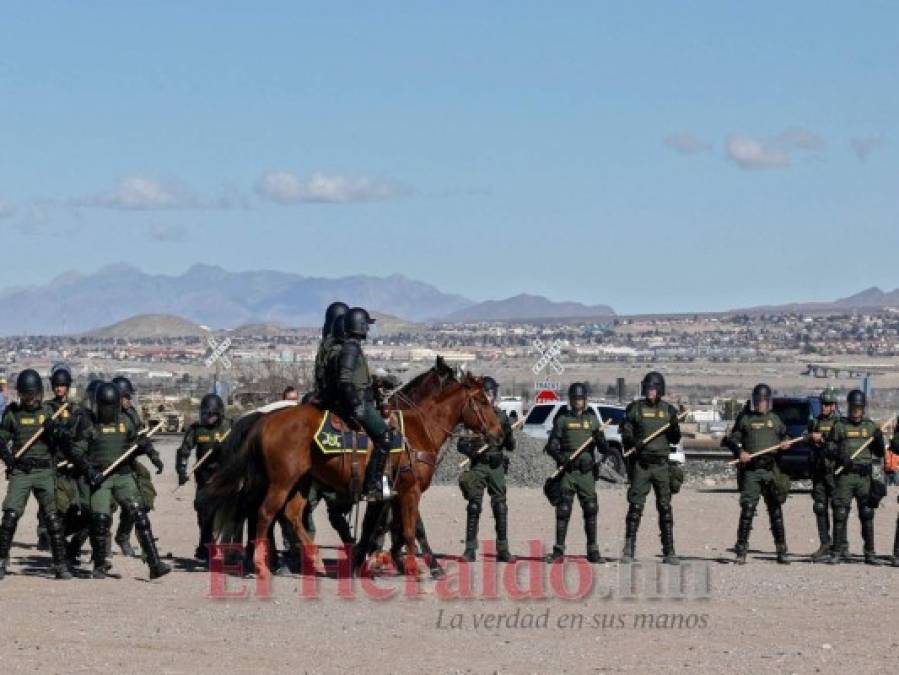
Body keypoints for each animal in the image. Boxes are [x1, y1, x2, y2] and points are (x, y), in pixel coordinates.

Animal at [209, 372, 506, 580]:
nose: (499, 433)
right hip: (281, 482)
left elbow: (379, 528)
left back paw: (311, 560)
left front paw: (367, 561)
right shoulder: (409, 491)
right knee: (264, 514)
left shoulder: (387, 494)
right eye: (481, 401)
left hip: (299, 483)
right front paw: (419, 567)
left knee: (288, 514)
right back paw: (261, 566)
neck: (418, 429)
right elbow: (411, 530)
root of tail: (263, 420)